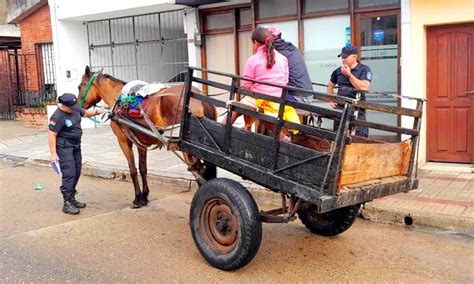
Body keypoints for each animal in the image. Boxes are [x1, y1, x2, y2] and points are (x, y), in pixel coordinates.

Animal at [78, 66, 217, 209]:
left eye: (79, 87)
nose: (78, 106)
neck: (120, 101)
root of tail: (201, 99)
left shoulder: (123, 141)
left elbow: (133, 169)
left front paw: (137, 198)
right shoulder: (140, 143)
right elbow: (142, 168)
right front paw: (144, 196)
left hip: (188, 149)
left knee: (199, 171)